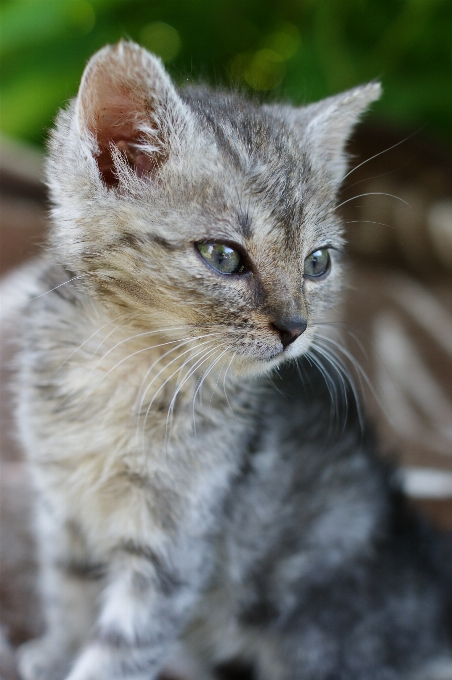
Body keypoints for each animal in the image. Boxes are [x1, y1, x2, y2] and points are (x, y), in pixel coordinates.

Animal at [15, 42, 450, 680]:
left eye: (317, 263)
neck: (120, 370)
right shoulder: (60, 505)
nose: (295, 328)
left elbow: (121, 649)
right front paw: (51, 652)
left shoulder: (176, 545)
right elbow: (66, 591)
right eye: (223, 256)